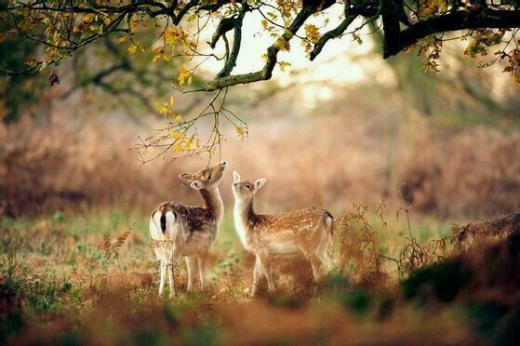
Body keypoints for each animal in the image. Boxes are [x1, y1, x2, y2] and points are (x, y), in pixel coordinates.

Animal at [147, 161, 226, 298]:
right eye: (209, 175)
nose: (223, 162)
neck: (214, 214)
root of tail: (163, 211)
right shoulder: (204, 247)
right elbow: (201, 269)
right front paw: (203, 291)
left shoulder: (190, 252)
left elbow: (190, 270)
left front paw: (189, 291)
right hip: (177, 242)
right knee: (170, 264)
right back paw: (172, 294)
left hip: (156, 242)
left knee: (162, 263)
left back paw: (160, 294)